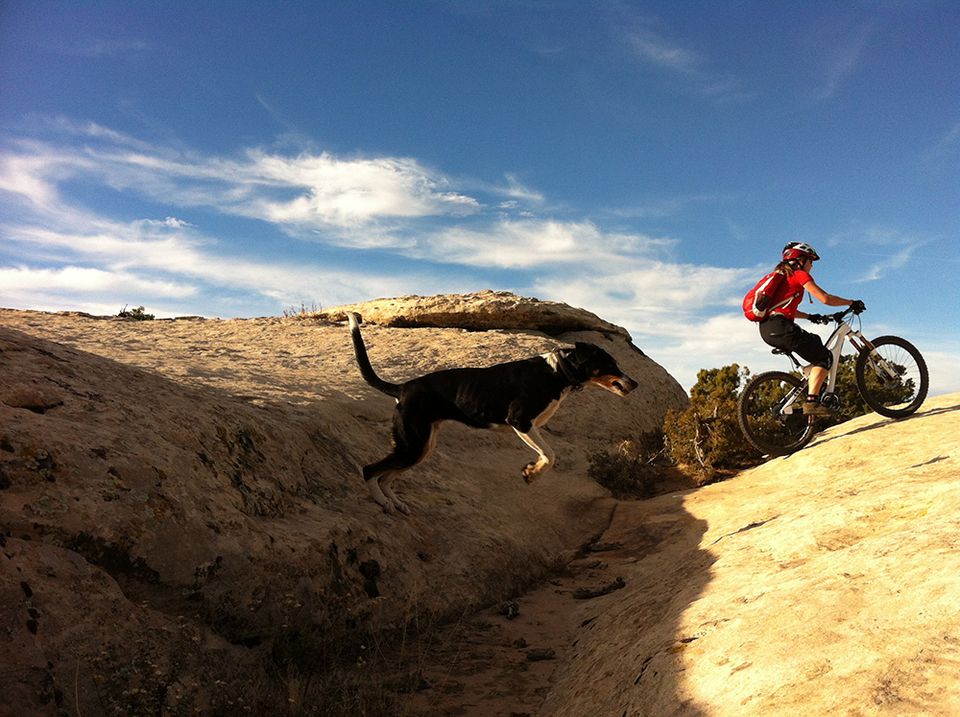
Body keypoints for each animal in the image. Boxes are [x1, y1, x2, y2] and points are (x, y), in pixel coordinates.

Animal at [346, 310, 636, 512]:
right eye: (611, 364)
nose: (635, 383)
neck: (557, 371)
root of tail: (403, 388)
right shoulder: (520, 421)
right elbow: (550, 455)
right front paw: (531, 473)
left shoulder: (529, 427)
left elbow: (548, 453)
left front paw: (531, 470)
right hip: (413, 444)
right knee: (370, 470)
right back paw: (382, 502)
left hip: (421, 447)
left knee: (386, 476)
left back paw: (395, 503)